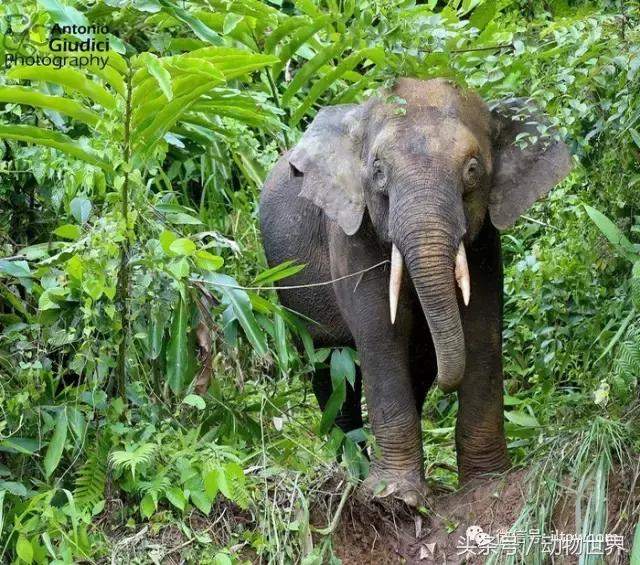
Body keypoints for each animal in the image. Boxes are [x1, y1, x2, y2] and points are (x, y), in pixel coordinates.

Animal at [258, 76, 568, 502]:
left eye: (473, 170)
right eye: (378, 172)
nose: (448, 384)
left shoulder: (485, 241)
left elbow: (482, 330)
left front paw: (488, 485)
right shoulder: (353, 237)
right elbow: (382, 337)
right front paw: (394, 495)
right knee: (328, 366)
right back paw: (349, 472)